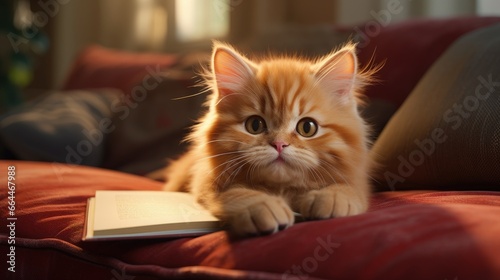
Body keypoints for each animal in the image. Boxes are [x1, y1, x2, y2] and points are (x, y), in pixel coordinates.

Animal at [165, 41, 376, 236]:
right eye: (255, 125)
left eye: (307, 127)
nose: (279, 144)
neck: (283, 190)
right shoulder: (205, 179)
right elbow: (237, 193)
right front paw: (262, 206)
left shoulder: (357, 178)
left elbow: (347, 187)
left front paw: (332, 199)